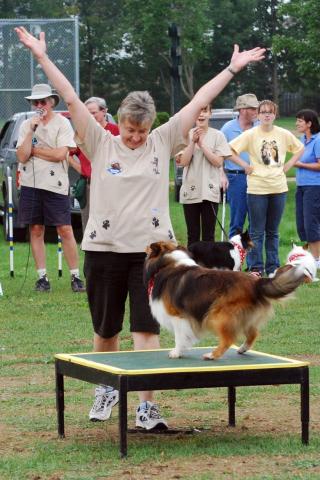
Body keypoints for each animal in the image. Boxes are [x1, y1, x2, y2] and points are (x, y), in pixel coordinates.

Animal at [145, 240, 312, 360]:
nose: (144, 248)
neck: (166, 262)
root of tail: (255, 282)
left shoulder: (178, 316)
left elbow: (179, 336)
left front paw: (176, 352)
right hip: (243, 316)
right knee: (253, 333)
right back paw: (242, 349)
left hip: (219, 315)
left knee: (228, 339)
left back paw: (212, 355)